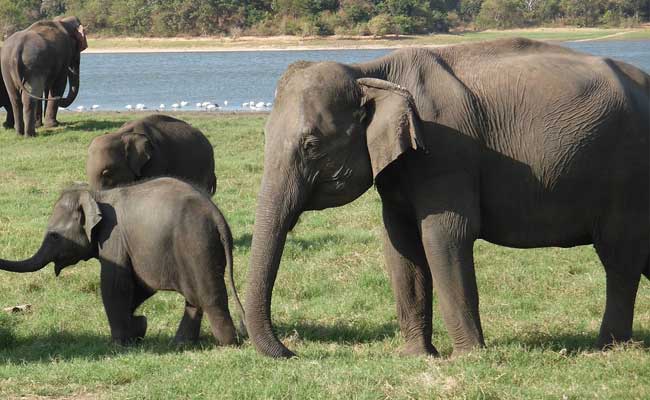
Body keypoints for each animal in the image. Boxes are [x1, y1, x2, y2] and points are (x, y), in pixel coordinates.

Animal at [0, 178, 245, 345]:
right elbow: (139, 286)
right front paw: (138, 327)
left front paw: (120, 343)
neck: (97, 195)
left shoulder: (113, 237)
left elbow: (114, 283)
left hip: (196, 245)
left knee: (210, 297)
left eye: (53, 235)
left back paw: (228, 343)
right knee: (194, 299)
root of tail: (217, 217)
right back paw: (180, 344)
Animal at [245, 38, 650, 358]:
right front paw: (416, 356)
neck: (371, 71)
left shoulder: (446, 151)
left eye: (312, 145)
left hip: (627, 174)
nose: (292, 351)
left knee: (619, 257)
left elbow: (445, 235)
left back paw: (606, 348)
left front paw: (468, 356)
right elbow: (400, 242)